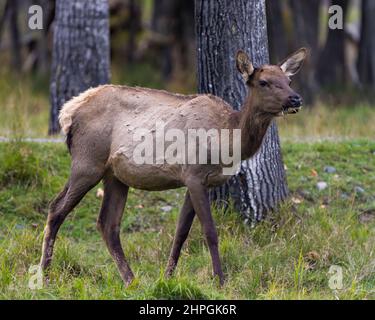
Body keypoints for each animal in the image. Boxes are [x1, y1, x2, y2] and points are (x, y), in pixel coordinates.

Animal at [39, 48, 306, 286]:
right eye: (264, 82)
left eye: (288, 80)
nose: (296, 98)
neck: (226, 139)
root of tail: (68, 112)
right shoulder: (194, 174)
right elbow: (210, 231)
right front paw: (220, 281)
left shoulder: (196, 181)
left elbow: (181, 232)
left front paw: (167, 277)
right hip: (87, 162)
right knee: (56, 209)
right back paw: (45, 275)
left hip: (115, 176)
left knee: (107, 224)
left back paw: (131, 280)